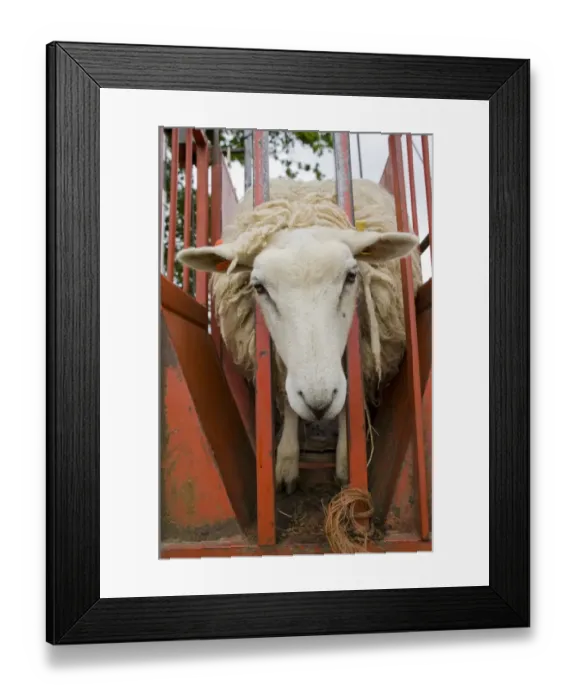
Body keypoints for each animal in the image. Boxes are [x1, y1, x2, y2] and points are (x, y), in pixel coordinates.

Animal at [177, 177, 422, 494]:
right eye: (259, 287)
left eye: (351, 276)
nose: (318, 403)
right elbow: (287, 399)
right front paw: (286, 461)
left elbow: (349, 396)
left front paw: (346, 462)